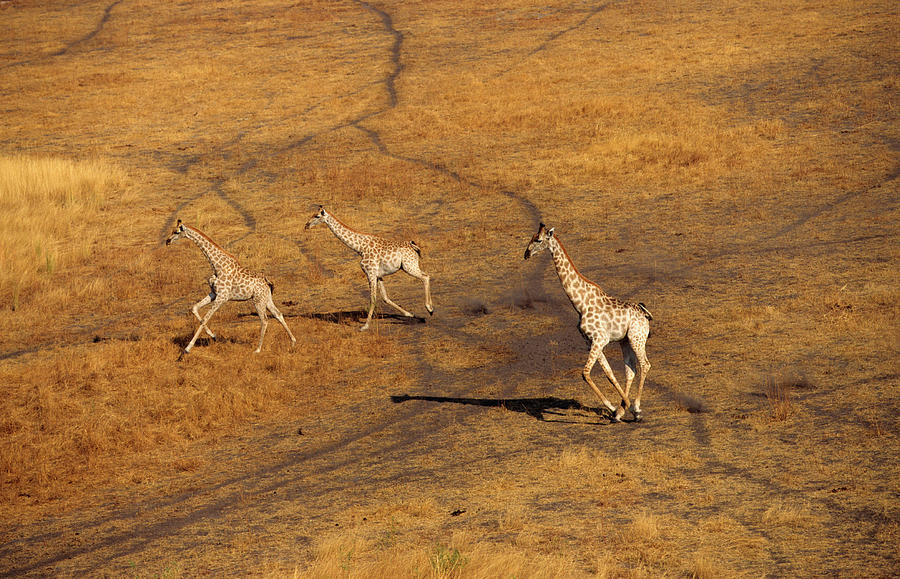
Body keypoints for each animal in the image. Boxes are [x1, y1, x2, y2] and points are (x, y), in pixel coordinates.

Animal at [163, 220, 298, 358]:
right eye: (172, 230)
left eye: (176, 232)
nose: (167, 241)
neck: (217, 266)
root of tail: (267, 282)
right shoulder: (214, 293)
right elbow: (194, 308)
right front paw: (214, 336)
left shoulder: (222, 297)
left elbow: (205, 319)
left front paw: (186, 349)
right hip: (266, 299)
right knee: (278, 314)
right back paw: (293, 342)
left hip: (258, 300)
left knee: (264, 320)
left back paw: (258, 349)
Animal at [304, 206, 434, 330]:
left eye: (316, 216)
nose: (306, 225)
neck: (360, 248)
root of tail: (413, 246)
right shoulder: (378, 275)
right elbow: (385, 297)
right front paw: (410, 314)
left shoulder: (369, 272)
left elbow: (373, 298)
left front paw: (365, 326)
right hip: (411, 265)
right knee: (426, 276)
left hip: (409, 266)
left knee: (425, 277)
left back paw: (430, 308)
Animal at [524, 223, 652, 422]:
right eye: (531, 237)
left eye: (538, 240)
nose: (526, 254)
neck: (580, 304)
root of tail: (644, 313)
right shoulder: (590, 341)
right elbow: (608, 373)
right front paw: (618, 409)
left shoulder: (600, 339)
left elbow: (585, 373)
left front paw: (619, 407)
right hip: (625, 341)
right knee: (631, 369)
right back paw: (629, 408)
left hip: (636, 338)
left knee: (645, 365)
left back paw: (637, 408)